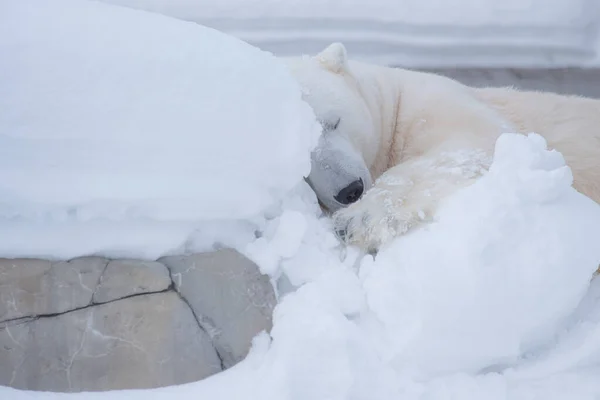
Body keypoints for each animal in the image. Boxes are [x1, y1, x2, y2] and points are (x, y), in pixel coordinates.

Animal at [284, 42, 600, 252]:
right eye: (300, 160)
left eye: (333, 122)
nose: (350, 190)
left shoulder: (430, 104)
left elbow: (472, 143)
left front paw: (356, 219)